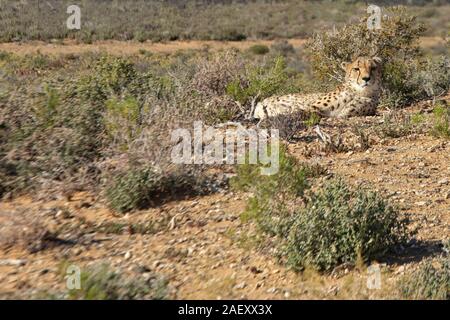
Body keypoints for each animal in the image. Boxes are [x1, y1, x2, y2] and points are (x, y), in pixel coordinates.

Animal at [253, 55, 384, 119]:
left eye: (373, 68)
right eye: (356, 69)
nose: (366, 78)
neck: (358, 91)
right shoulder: (314, 107)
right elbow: (302, 112)